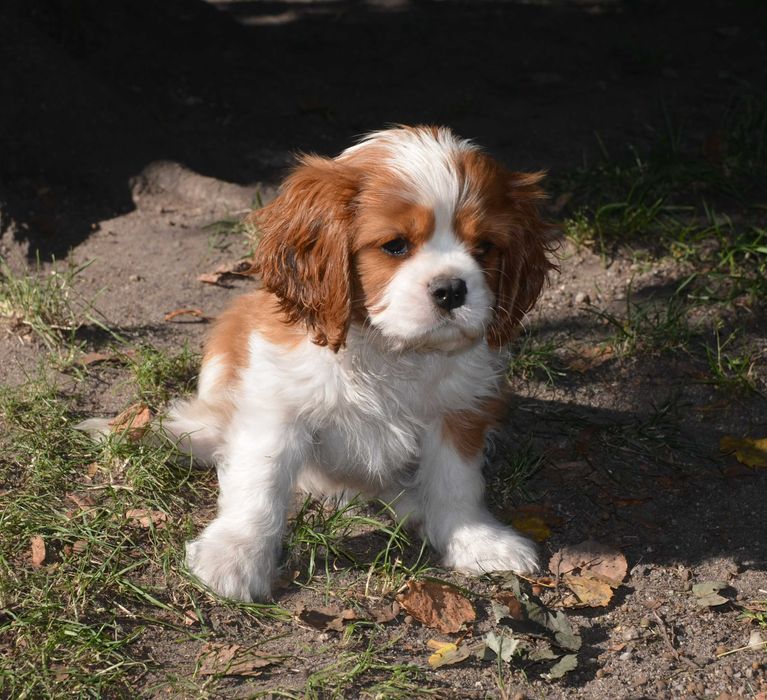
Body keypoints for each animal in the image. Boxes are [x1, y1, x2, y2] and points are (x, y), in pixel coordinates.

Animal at [165, 124, 556, 596]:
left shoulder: (459, 411)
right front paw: (235, 556)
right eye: (395, 246)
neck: (390, 348)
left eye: (484, 247)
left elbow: (456, 482)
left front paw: (475, 540)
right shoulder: (278, 409)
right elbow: (259, 484)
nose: (451, 289)